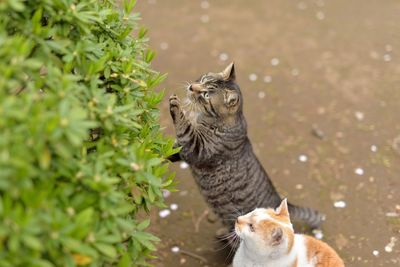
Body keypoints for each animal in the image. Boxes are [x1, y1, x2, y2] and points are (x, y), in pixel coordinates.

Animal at [167, 63, 324, 232]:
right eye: (202, 80)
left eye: (206, 95)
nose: (191, 87)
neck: (203, 118)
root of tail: (279, 201)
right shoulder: (186, 148)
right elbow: (173, 149)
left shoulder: (198, 148)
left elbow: (184, 127)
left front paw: (176, 106)